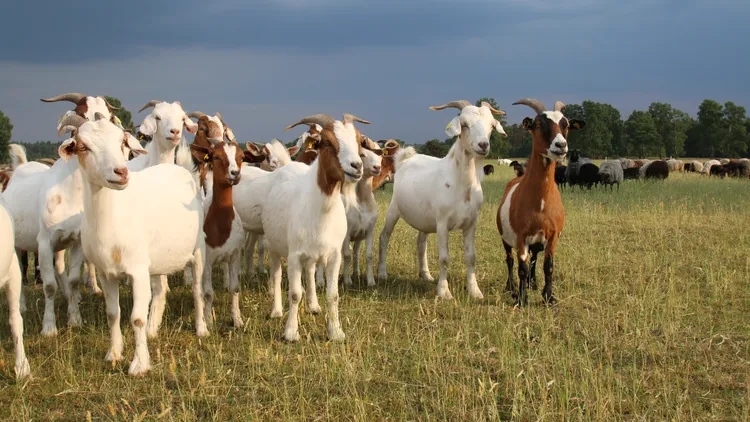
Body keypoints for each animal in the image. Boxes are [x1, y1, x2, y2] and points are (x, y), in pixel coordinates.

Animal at [58, 113, 207, 376]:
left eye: (121, 142)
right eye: (83, 146)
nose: (121, 172)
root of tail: (179, 169)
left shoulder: (137, 271)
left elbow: (136, 318)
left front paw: (139, 364)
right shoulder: (106, 273)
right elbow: (112, 314)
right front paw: (113, 353)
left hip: (198, 249)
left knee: (197, 290)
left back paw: (201, 328)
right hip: (156, 260)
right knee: (160, 291)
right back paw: (153, 330)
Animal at [378, 100, 508, 300]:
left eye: (491, 126)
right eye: (464, 124)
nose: (483, 145)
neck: (462, 186)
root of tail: (404, 160)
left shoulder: (472, 223)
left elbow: (471, 257)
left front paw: (475, 291)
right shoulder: (442, 223)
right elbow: (444, 258)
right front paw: (444, 292)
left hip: (424, 218)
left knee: (421, 243)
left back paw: (425, 274)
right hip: (394, 210)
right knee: (384, 236)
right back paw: (382, 273)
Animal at [500, 98, 588, 306]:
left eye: (566, 125)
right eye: (538, 124)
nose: (561, 145)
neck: (539, 203)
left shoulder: (553, 235)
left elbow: (548, 265)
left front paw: (549, 297)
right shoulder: (521, 236)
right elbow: (521, 267)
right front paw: (521, 299)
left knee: (534, 259)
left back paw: (532, 284)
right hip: (506, 238)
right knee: (510, 260)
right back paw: (512, 287)